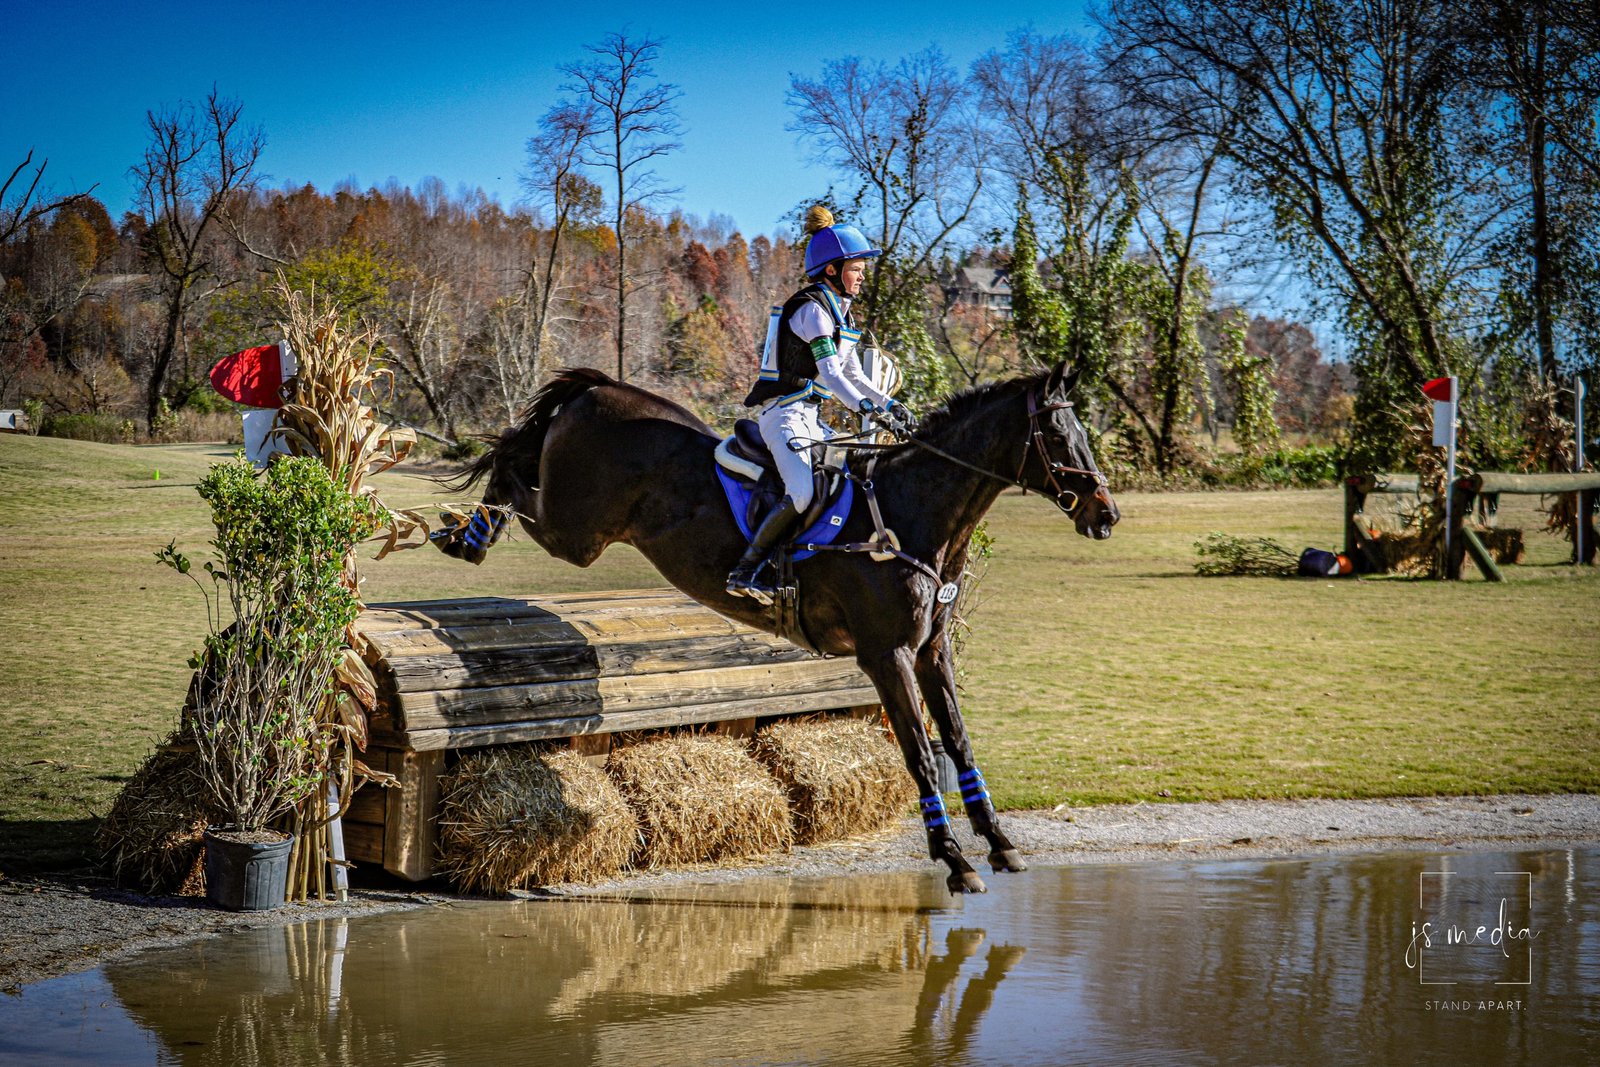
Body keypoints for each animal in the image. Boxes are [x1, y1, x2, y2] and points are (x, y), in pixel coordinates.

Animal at [435, 359, 1119, 893]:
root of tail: (597, 389)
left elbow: (958, 741)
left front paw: (999, 843)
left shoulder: (931, 651)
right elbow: (922, 756)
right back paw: (463, 534)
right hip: (577, 532)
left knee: (518, 462)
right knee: (512, 472)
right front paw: (953, 860)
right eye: (1057, 435)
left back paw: (466, 534)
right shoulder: (887, 654)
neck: (912, 513)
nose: (1106, 515)